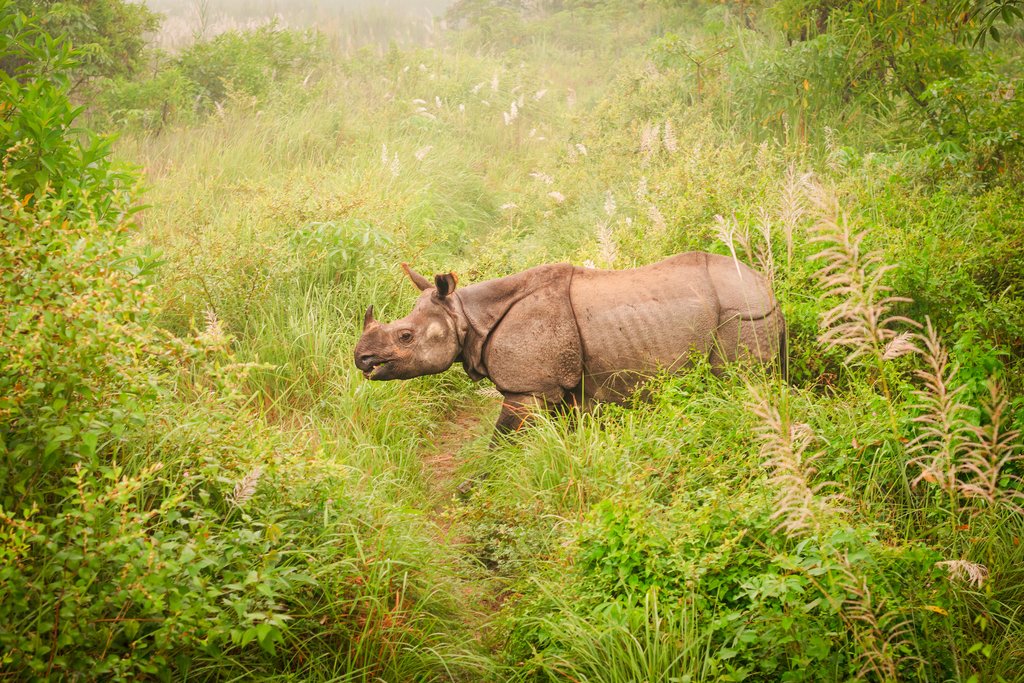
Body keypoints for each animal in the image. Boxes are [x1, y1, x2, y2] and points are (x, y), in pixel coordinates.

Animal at [354, 252, 785, 438]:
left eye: (405, 336)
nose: (362, 359)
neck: (466, 316)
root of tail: (764, 283)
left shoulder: (528, 388)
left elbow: (502, 439)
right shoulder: (563, 386)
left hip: (743, 313)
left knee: (739, 382)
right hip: (747, 308)